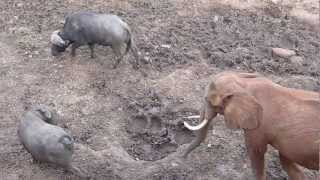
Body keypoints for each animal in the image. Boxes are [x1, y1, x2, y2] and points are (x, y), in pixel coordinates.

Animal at [182, 71, 320, 180]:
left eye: (207, 100)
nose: (183, 158)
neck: (243, 84)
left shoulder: (259, 125)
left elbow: (256, 152)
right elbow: (286, 160)